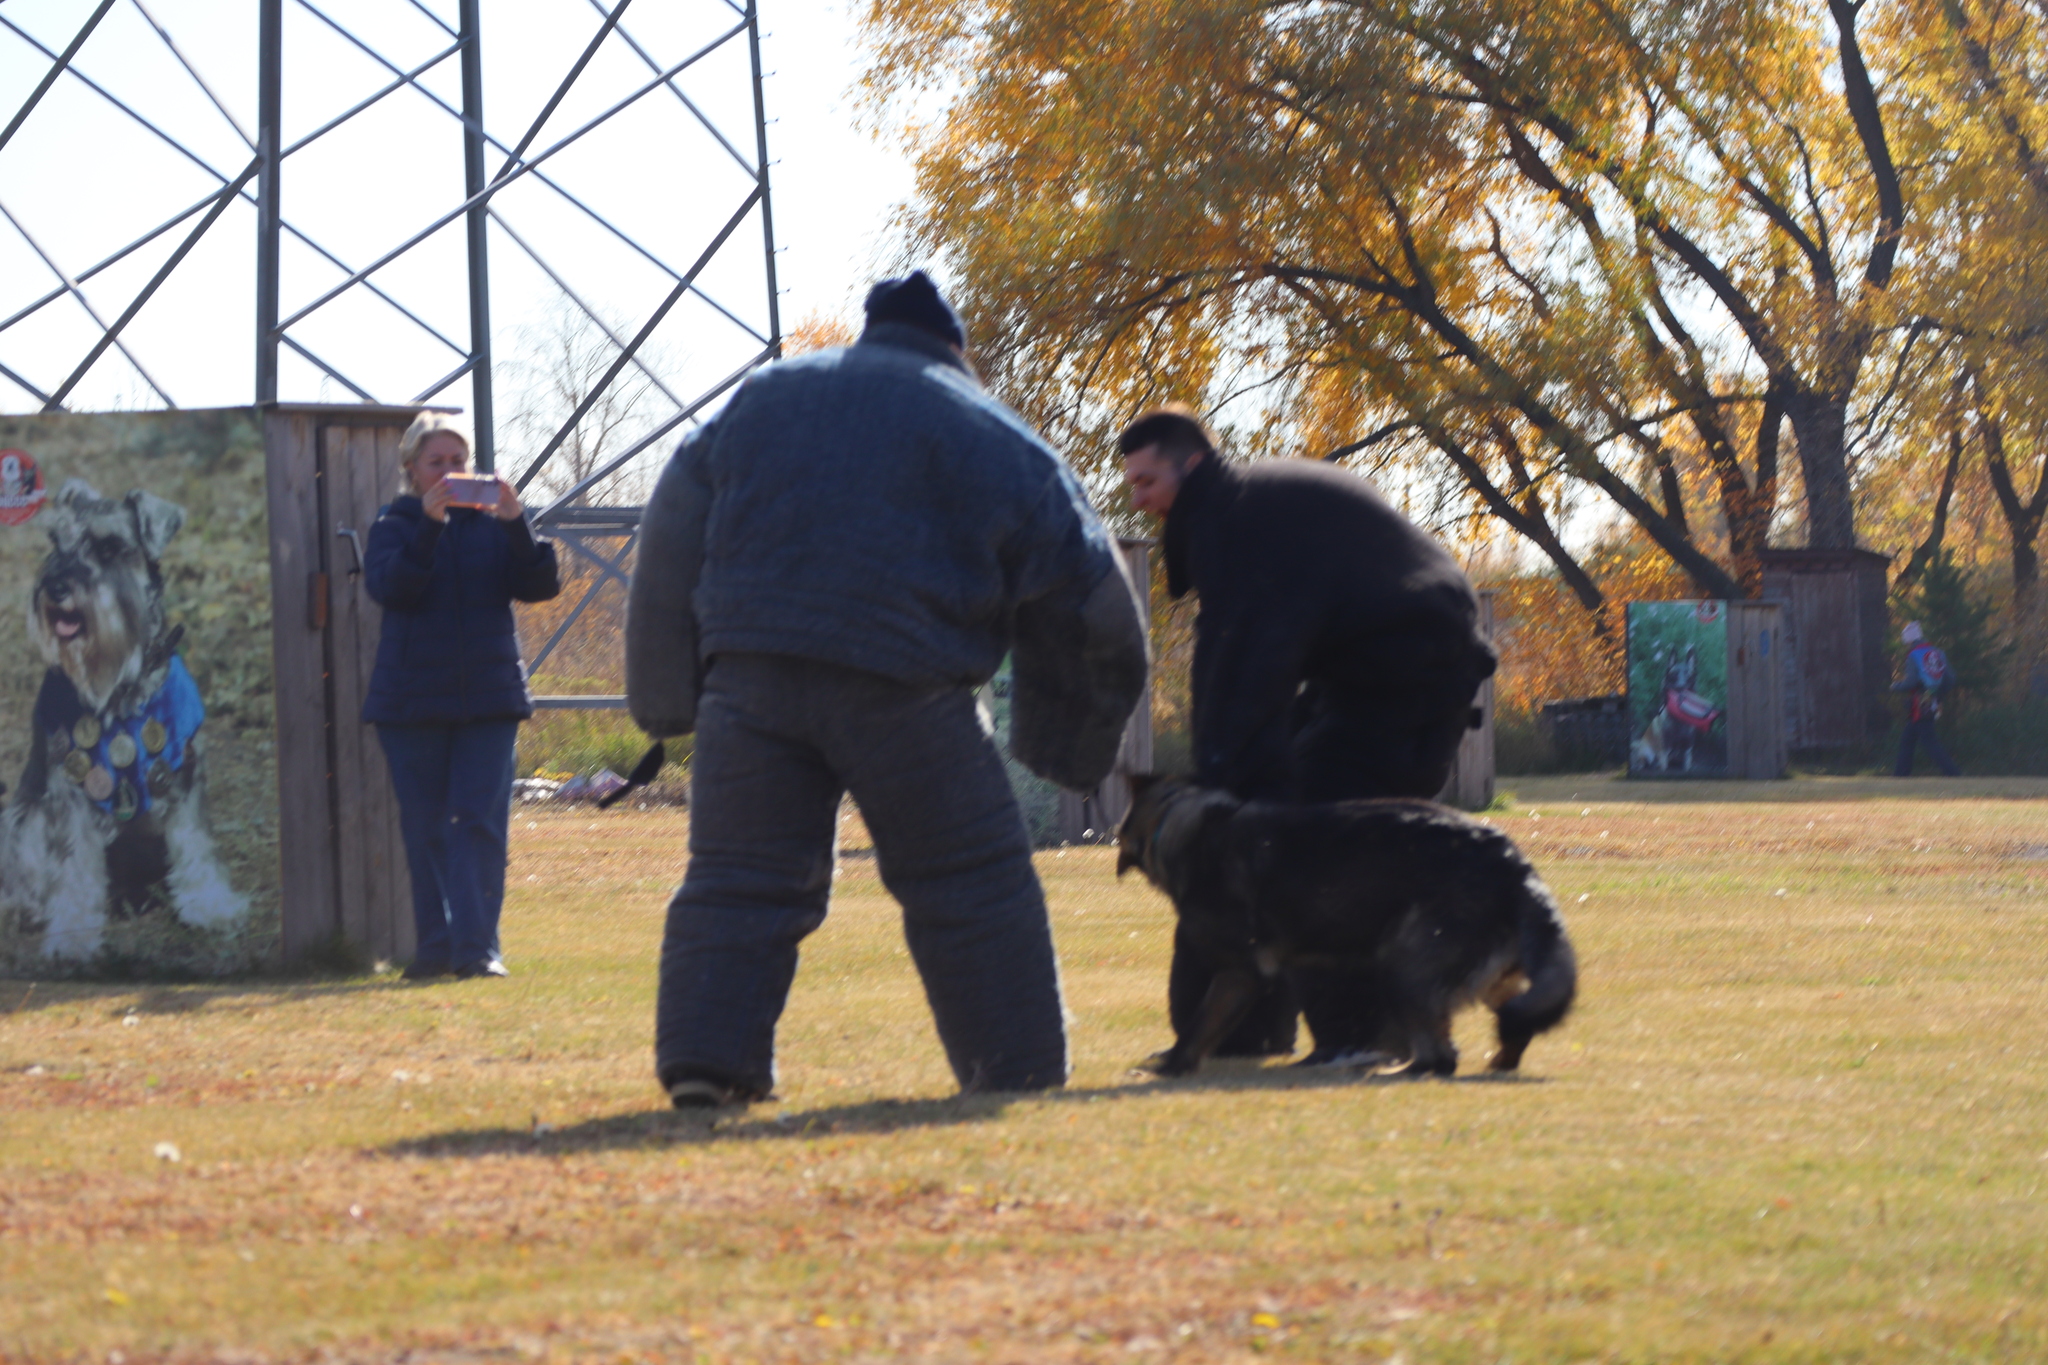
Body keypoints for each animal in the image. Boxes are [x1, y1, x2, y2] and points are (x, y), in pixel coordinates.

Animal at [1122, 777, 1581, 1080]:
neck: (1184, 824)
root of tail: (1511, 863)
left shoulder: (1238, 973)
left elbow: (1198, 1026)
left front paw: (1173, 1067)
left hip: (1403, 969)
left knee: (1442, 1057)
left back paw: (1407, 1070)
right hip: (1485, 978)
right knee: (1515, 1018)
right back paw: (1499, 1062)